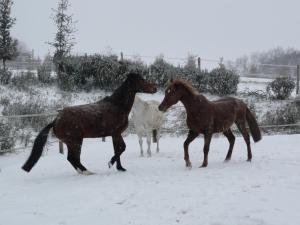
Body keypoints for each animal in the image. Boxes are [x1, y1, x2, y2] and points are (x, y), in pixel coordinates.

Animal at [22, 73, 157, 173]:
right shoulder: (116, 133)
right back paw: (87, 172)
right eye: (141, 80)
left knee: (72, 159)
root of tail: (56, 120)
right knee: (73, 158)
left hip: (72, 142)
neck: (117, 106)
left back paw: (83, 171)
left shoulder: (115, 135)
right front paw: (110, 163)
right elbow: (121, 148)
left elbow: (118, 149)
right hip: (75, 142)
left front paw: (120, 168)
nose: (155, 88)